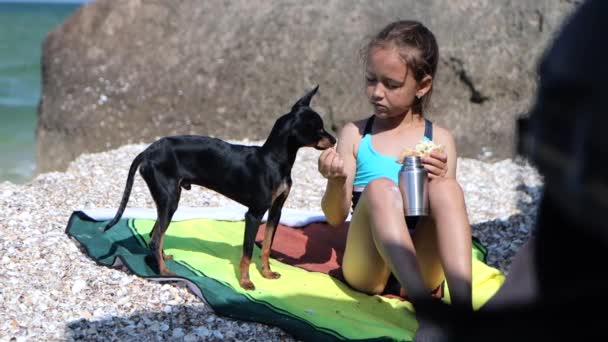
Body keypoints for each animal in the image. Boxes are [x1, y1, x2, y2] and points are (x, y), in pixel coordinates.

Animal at [102, 85, 334, 288]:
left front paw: (266, 273)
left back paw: (163, 258)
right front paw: (245, 282)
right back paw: (164, 272)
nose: (334, 140)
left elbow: (267, 246)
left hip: (167, 201)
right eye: (319, 129)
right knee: (155, 238)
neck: (273, 160)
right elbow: (247, 252)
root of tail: (147, 152)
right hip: (170, 200)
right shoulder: (254, 214)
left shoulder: (276, 211)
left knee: (155, 235)